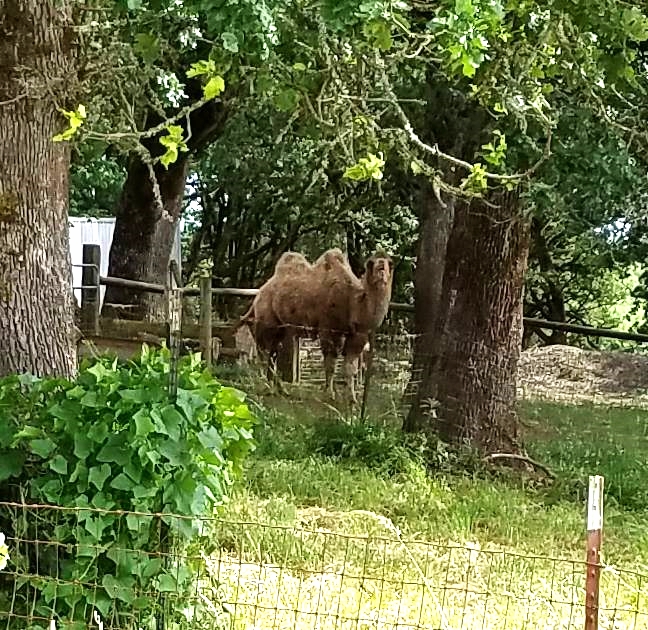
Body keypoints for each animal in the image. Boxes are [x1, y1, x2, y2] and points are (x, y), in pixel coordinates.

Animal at [239, 248, 393, 402]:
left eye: (390, 263)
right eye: (371, 263)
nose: (381, 269)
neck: (352, 301)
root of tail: (258, 295)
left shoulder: (358, 335)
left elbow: (351, 368)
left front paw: (352, 398)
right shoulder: (329, 329)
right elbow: (330, 364)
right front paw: (329, 394)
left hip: (281, 328)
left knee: (272, 354)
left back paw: (280, 389)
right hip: (266, 322)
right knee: (264, 353)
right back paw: (265, 387)